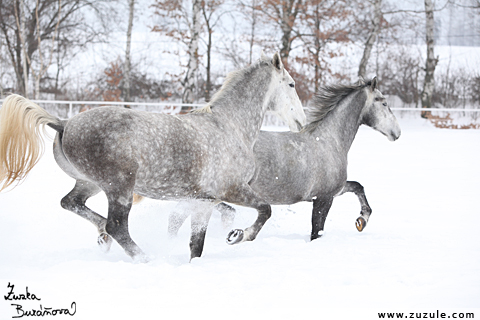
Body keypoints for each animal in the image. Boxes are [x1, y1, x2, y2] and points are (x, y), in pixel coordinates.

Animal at [0, 52, 308, 262]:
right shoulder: (232, 190)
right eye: (292, 85)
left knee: (72, 204)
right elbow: (265, 209)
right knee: (117, 226)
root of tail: (63, 123)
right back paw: (144, 258)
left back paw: (103, 237)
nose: (302, 122)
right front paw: (239, 236)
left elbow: (196, 245)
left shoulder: (203, 201)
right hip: (120, 187)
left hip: (89, 183)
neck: (229, 126)